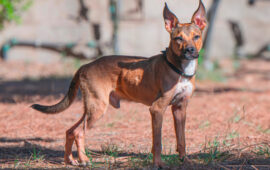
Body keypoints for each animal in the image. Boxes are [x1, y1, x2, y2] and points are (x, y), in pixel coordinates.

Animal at [32, 0, 208, 167]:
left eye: (196, 36)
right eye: (178, 38)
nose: (190, 50)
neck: (180, 70)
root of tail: (85, 66)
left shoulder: (180, 107)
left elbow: (182, 139)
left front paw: (185, 160)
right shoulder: (157, 109)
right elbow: (158, 142)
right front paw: (157, 164)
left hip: (91, 107)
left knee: (70, 131)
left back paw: (70, 160)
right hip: (97, 108)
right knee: (79, 132)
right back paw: (84, 160)